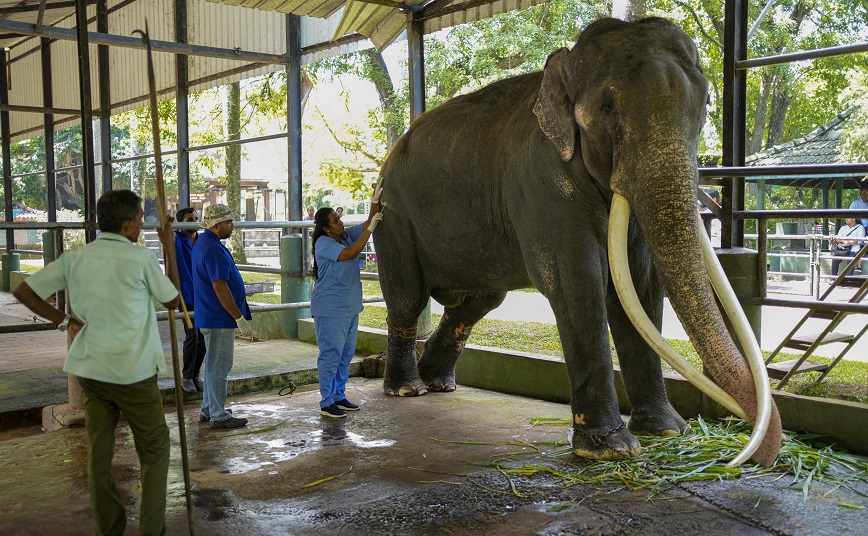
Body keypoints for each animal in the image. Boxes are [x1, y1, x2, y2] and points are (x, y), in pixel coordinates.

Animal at [370, 16, 784, 466]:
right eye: (607, 108)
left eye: (707, 103)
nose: (755, 456)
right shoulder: (543, 182)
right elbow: (578, 282)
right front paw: (610, 451)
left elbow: (640, 285)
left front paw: (667, 431)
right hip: (393, 218)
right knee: (408, 298)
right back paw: (407, 390)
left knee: (478, 301)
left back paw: (438, 382)